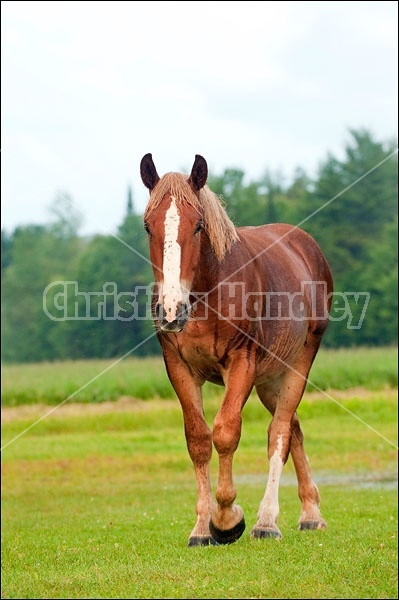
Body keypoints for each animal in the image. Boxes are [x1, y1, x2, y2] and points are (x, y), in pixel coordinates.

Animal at [141, 152, 334, 548]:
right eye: (148, 226)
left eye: (198, 225)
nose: (171, 310)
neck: (206, 293)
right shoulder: (178, 367)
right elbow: (198, 439)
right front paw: (202, 528)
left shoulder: (241, 363)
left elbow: (226, 431)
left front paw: (227, 519)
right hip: (271, 379)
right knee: (293, 428)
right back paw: (310, 513)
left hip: (297, 364)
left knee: (279, 432)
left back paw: (267, 520)